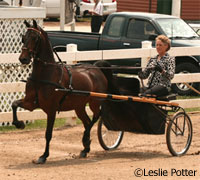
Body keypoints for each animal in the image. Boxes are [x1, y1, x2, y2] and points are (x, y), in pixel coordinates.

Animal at [11, 19, 112, 165]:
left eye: (35, 38)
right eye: (23, 38)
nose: (23, 59)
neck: (44, 75)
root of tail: (96, 69)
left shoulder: (51, 109)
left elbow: (48, 133)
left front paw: (44, 156)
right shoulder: (30, 103)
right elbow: (14, 104)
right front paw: (19, 124)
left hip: (94, 102)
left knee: (95, 118)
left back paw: (85, 139)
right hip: (79, 106)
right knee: (87, 121)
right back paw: (85, 147)